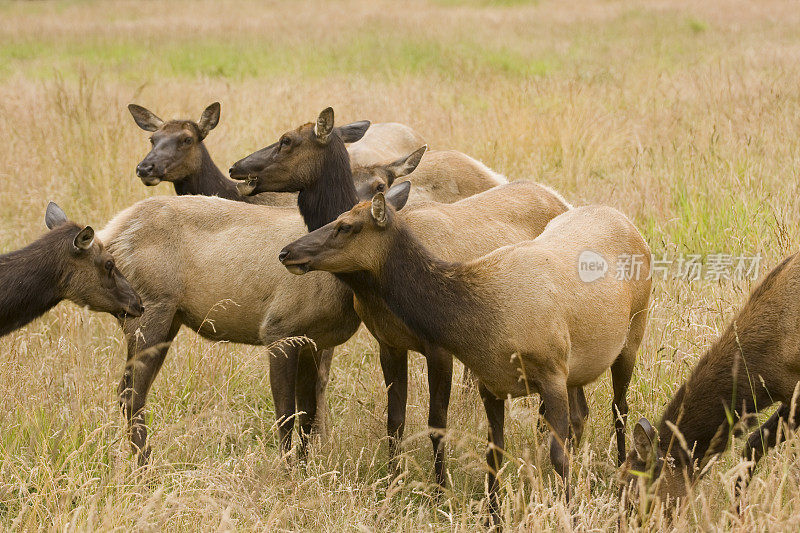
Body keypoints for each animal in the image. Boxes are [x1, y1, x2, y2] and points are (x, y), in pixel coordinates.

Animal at [278, 189, 652, 520]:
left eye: (346, 226)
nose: (286, 252)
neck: (483, 320)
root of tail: (629, 224)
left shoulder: (551, 371)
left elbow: (558, 453)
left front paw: (569, 511)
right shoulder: (491, 383)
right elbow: (493, 453)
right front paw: (492, 516)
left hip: (633, 332)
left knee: (619, 408)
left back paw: (621, 469)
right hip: (579, 367)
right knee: (582, 414)